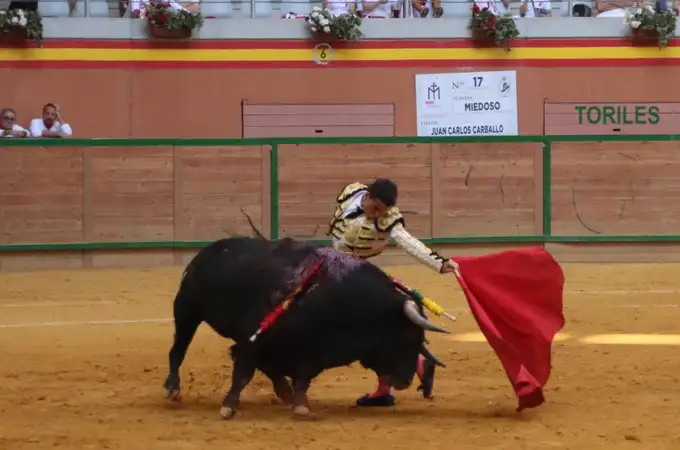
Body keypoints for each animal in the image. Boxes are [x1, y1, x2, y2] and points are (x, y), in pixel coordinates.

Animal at [163, 237, 452, 420]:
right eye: (406, 335)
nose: (405, 381)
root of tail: (207, 252)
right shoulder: (254, 338)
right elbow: (243, 371)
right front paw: (228, 407)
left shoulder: (312, 351)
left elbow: (302, 377)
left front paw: (300, 405)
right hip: (187, 310)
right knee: (178, 349)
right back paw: (172, 388)